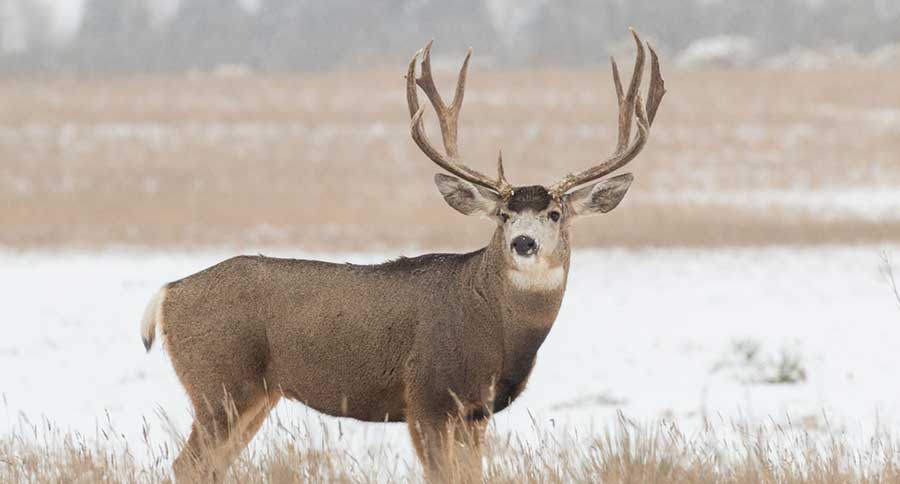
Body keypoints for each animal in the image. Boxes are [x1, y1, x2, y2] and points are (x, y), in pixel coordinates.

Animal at [139, 27, 660, 484]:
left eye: (554, 213)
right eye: (503, 215)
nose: (523, 243)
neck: (493, 326)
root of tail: (169, 292)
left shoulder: (474, 412)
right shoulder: (427, 397)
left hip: (255, 395)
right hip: (220, 383)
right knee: (188, 464)